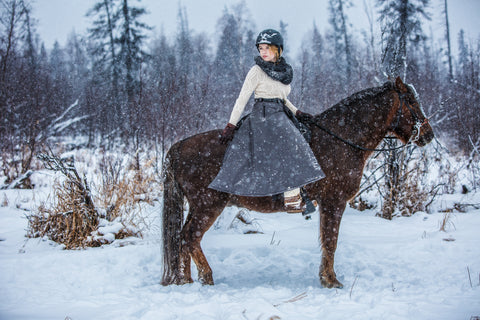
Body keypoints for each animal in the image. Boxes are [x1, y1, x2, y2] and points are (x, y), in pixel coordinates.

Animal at [160, 76, 436, 288]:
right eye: (411, 102)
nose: (429, 134)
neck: (341, 139)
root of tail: (179, 147)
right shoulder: (334, 202)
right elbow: (331, 241)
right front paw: (331, 280)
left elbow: (326, 240)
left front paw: (326, 277)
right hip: (208, 205)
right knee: (190, 237)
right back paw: (206, 277)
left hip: (197, 206)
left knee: (182, 240)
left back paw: (186, 279)